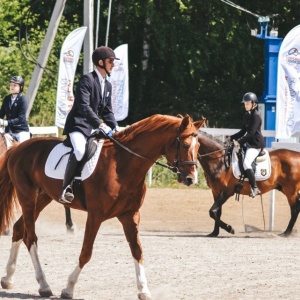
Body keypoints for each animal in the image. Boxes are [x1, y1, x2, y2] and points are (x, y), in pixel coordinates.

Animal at [0, 115, 204, 300]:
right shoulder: (95, 215)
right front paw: (68, 289)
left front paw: (144, 290)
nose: (191, 179)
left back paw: (8, 278)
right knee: (30, 237)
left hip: (43, 198)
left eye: (199, 147)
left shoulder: (130, 215)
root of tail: (18, 147)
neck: (123, 165)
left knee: (18, 229)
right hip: (27, 197)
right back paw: (43, 285)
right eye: (185, 145)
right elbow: (86, 252)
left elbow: (137, 250)